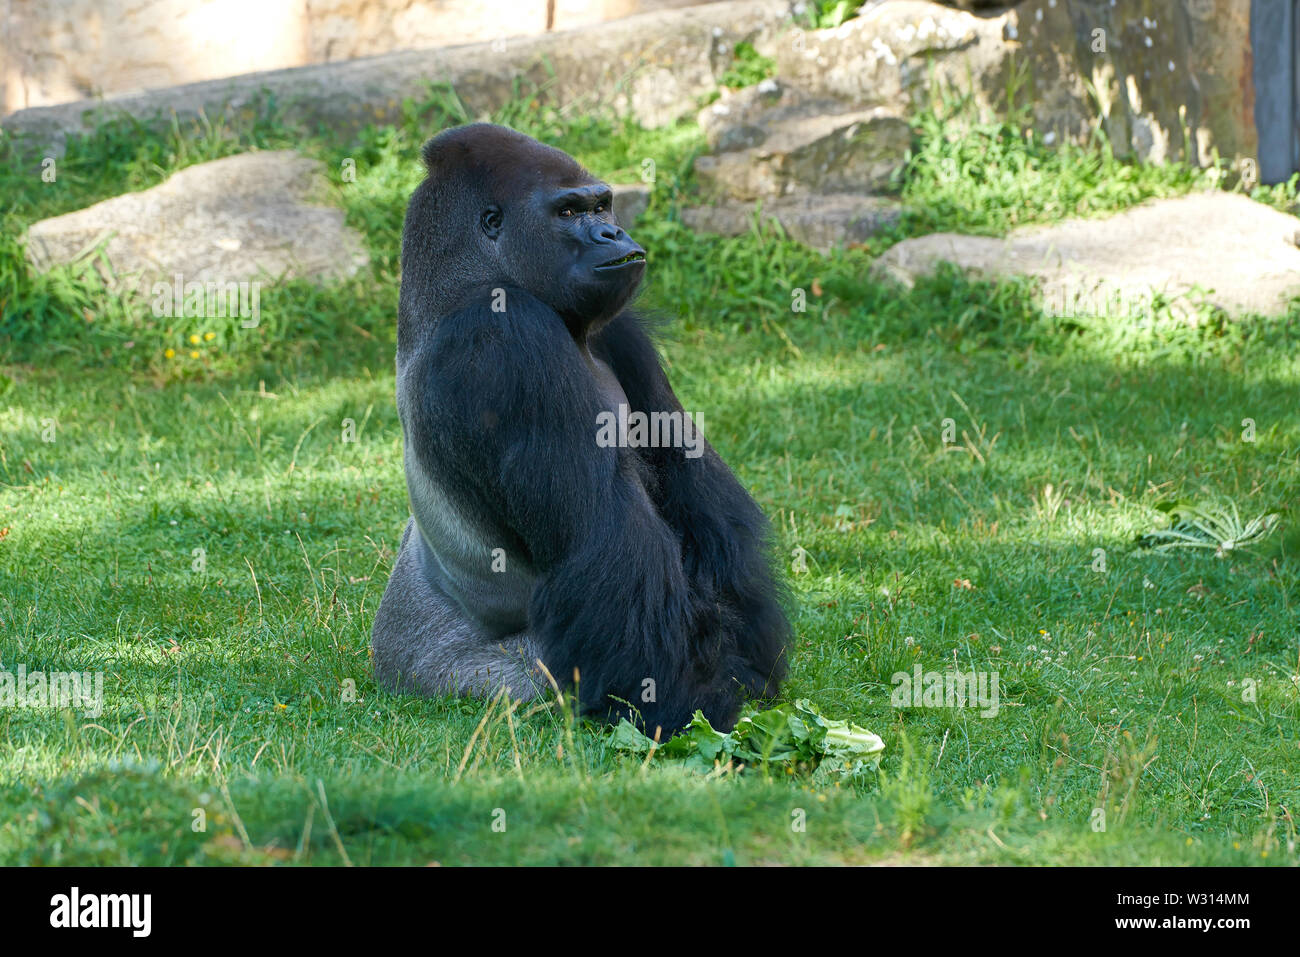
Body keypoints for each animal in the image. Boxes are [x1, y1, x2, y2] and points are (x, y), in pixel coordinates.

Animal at [371, 121, 785, 733]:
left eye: (602, 204)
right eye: (568, 212)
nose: (613, 232)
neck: (463, 281)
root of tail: (388, 662)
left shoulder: (619, 330)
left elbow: (698, 500)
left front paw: (750, 664)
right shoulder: (506, 336)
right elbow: (598, 542)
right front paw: (689, 705)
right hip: (467, 680)